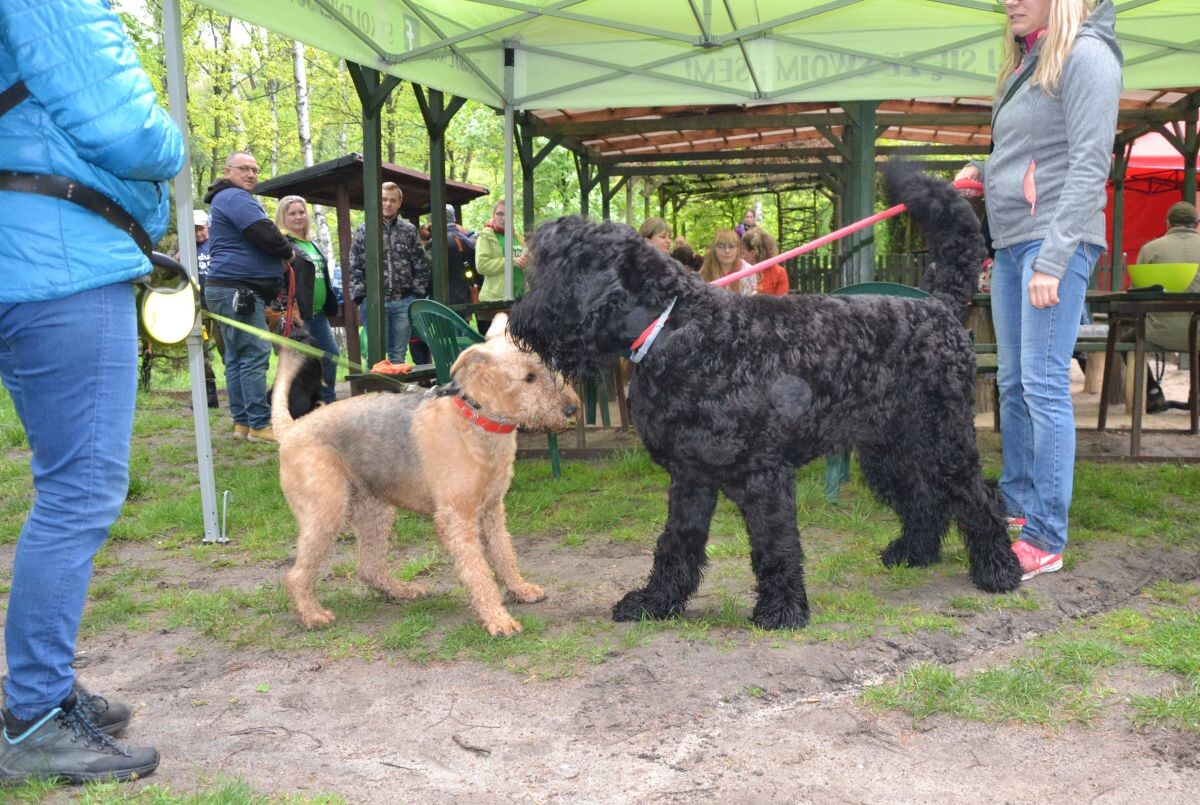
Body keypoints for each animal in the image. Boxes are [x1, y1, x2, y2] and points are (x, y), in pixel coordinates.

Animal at [277, 319, 585, 638]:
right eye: (529, 377)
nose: (572, 409)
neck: (476, 418)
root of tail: (290, 430)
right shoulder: (458, 517)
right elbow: (478, 570)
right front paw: (498, 619)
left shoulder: (492, 510)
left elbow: (504, 556)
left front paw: (520, 590)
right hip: (326, 514)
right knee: (297, 574)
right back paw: (313, 615)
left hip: (374, 510)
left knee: (369, 566)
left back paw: (401, 591)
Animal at [506, 170, 1022, 628]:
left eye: (555, 262)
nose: (518, 319)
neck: (678, 327)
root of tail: (940, 306)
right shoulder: (690, 476)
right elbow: (677, 544)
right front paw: (656, 603)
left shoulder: (764, 475)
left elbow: (775, 545)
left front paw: (782, 611)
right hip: (888, 448)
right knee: (922, 498)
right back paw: (914, 553)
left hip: (944, 439)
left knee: (979, 497)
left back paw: (999, 570)